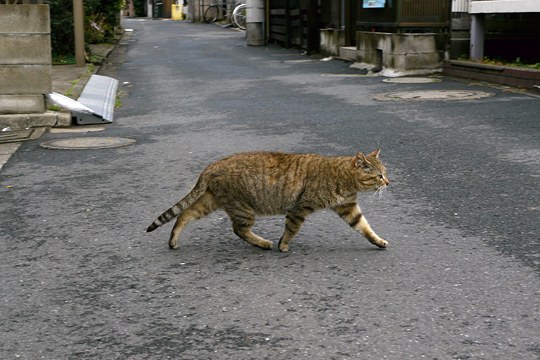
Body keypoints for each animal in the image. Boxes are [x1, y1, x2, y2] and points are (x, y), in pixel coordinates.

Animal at [146, 150, 390, 252]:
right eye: (379, 175)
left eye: (385, 173)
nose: (388, 182)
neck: (343, 177)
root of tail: (212, 165)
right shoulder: (299, 208)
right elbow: (291, 229)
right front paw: (283, 245)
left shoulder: (348, 207)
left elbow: (364, 227)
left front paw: (378, 241)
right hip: (242, 207)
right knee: (239, 229)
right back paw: (263, 243)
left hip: (210, 201)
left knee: (184, 214)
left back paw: (173, 240)